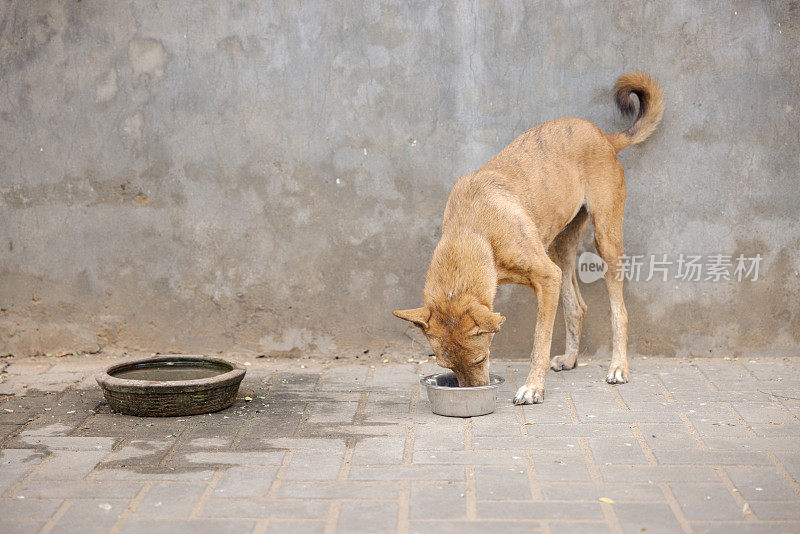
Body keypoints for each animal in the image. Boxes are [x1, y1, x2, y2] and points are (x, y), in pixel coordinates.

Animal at [394, 72, 664, 406]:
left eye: (480, 359)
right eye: (448, 366)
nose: (471, 392)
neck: (473, 230)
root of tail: (604, 136)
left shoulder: (547, 278)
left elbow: (540, 340)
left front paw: (533, 387)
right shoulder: (550, 274)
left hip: (606, 241)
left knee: (620, 312)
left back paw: (618, 367)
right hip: (561, 248)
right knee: (577, 307)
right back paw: (571, 359)